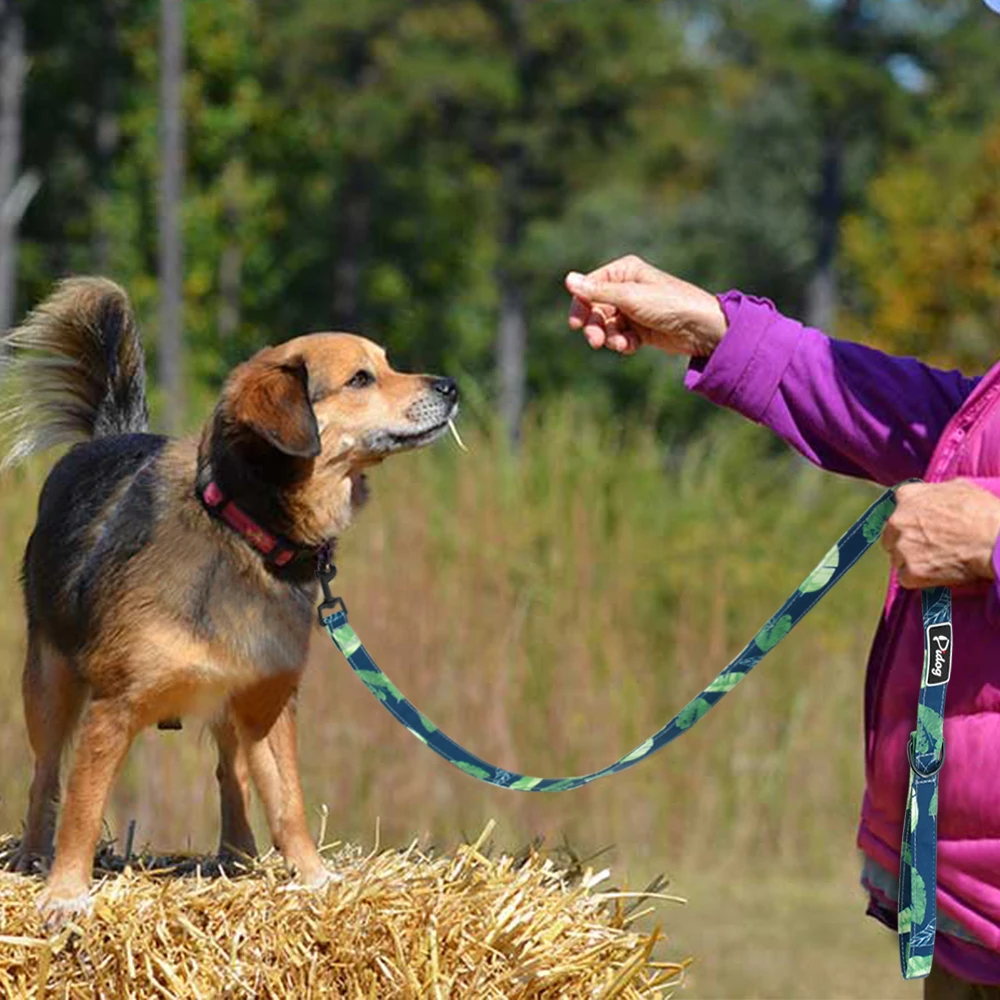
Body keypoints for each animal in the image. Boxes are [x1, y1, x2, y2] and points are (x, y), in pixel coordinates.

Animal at [0, 278, 460, 924]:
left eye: (390, 364)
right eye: (361, 379)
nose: (450, 387)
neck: (243, 530)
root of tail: (108, 438)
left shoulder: (269, 704)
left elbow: (288, 804)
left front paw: (316, 881)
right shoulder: (112, 708)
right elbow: (83, 809)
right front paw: (66, 892)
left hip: (228, 703)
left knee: (229, 773)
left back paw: (238, 855)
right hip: (49, 680)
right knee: (45, 776)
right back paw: (31, 857)